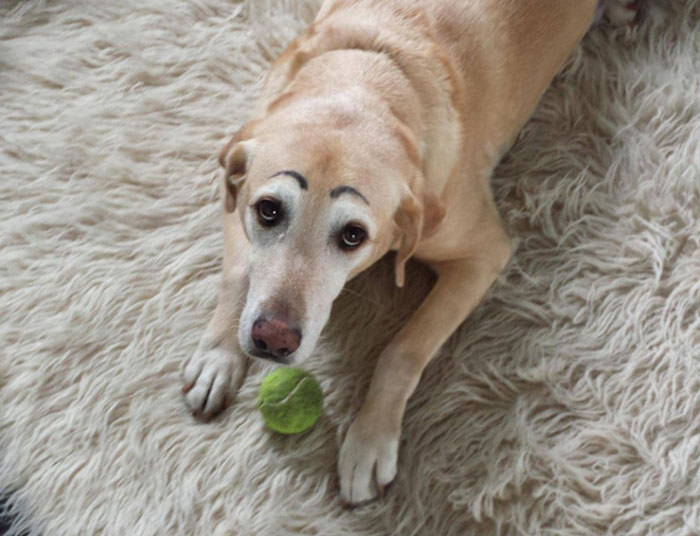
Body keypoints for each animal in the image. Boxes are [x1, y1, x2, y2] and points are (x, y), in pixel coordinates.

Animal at [183, 0, 644, 506]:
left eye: (353, 236)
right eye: (268, 210)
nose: (272, 340)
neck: (375, 69)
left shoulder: (483, 253)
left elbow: (401, 350)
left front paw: (369, 439)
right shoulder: (235, 187)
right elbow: (238, 272)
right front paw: (218, 354)